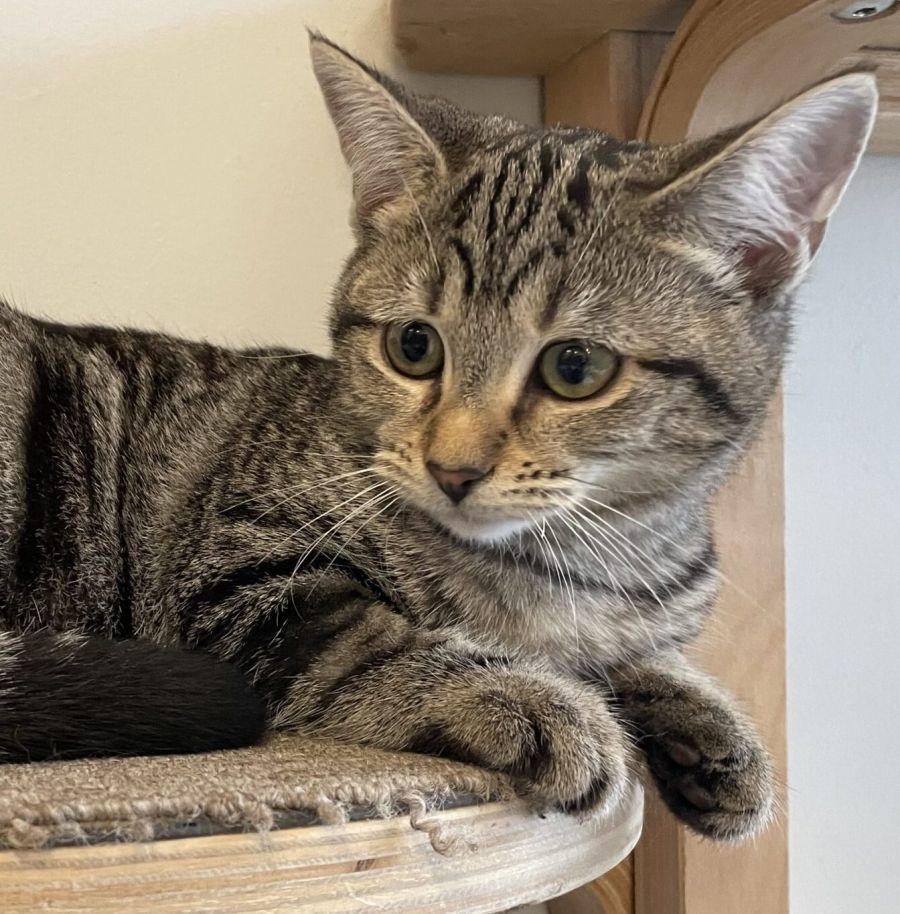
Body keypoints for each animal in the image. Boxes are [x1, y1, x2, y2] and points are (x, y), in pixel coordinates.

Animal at [0, 33, 876, 843]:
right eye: (414, 346)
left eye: (577, 367)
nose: (453, 467)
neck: (581, 561)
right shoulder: (236, 572)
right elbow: (373, 639)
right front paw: (532, 699)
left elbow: (649, 654)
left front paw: (713, 731)